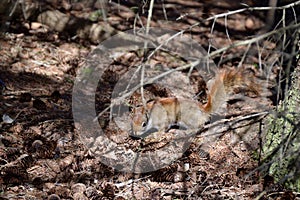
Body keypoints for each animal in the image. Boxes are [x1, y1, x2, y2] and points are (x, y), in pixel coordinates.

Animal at [130, 68, 258, 138]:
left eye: (144, 124)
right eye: (132, 122)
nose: (135, 133)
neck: (151, 113)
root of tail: (203, 111)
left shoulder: (163, 120)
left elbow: (163, 128)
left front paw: (155, 135)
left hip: (186, 118)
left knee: (199, 126)